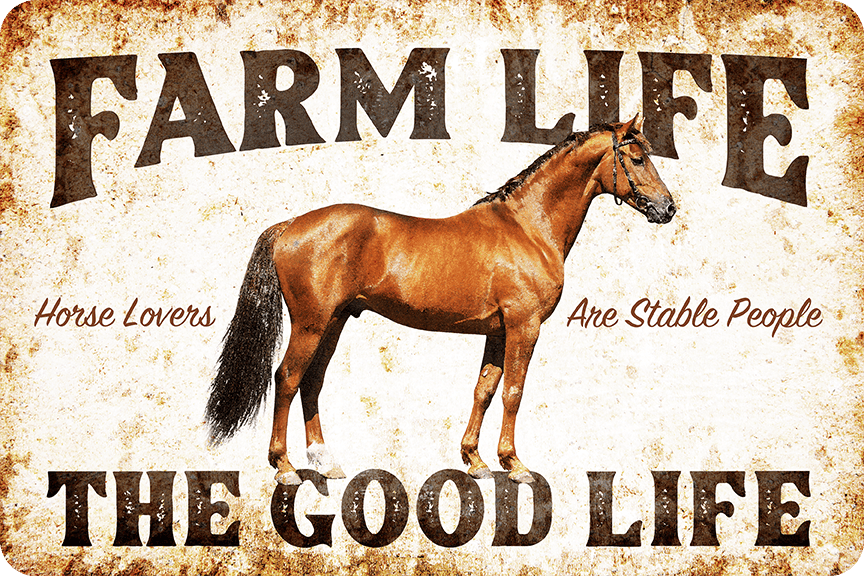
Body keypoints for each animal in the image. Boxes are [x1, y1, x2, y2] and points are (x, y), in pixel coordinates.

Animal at [205, 114, 676, 485]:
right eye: (637, 158)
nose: (668, 208)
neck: (528, 227)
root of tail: (289, 225)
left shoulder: (497, 331)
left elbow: (485, 390)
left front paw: (476, 461)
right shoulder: (524, 325)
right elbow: (514, 392)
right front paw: (514, 465)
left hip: (334, 321)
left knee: (312, 381)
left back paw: (326, 462)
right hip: (311, 323)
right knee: (287, 378)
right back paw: (284, 467)